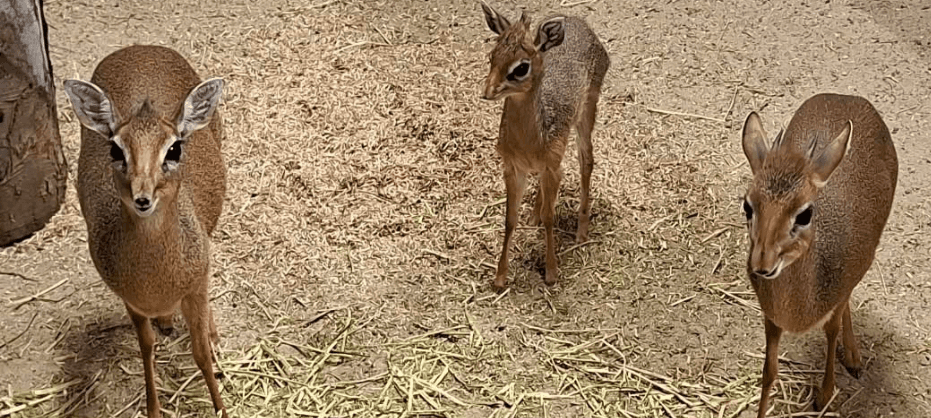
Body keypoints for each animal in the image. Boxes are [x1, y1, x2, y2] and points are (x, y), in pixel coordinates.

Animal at [63, 45, 228, 418]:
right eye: (115, 148)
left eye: (175, 148)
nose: (143, 197)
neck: (157, 282)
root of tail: (138, 48)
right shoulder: (132, 302)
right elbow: (146, 348)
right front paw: (153, 409)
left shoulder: (195, 284)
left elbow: (199, 352)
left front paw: (222, 407)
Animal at [480, 2, 609, 290]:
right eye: (492, 56)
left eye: (520, 68)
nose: (488, 92)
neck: (527, 142)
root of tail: (577, 21)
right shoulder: (513, 168)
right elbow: (509, 219)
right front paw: (500, 278)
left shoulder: (552, 167)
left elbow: (551, 218)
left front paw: (551, 273)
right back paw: (534, 216)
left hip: (588, 110)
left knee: (587, 160)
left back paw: (581, 232)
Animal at [740, 93, 898, 416]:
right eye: (748, 205)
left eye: (804, 213)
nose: (762, 264)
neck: (797, 313)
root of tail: (849, 97)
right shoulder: (770, 316)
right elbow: (769, 371)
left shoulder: (837, 296)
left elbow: (831, 330)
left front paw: (824, 395)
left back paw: (853, 358)